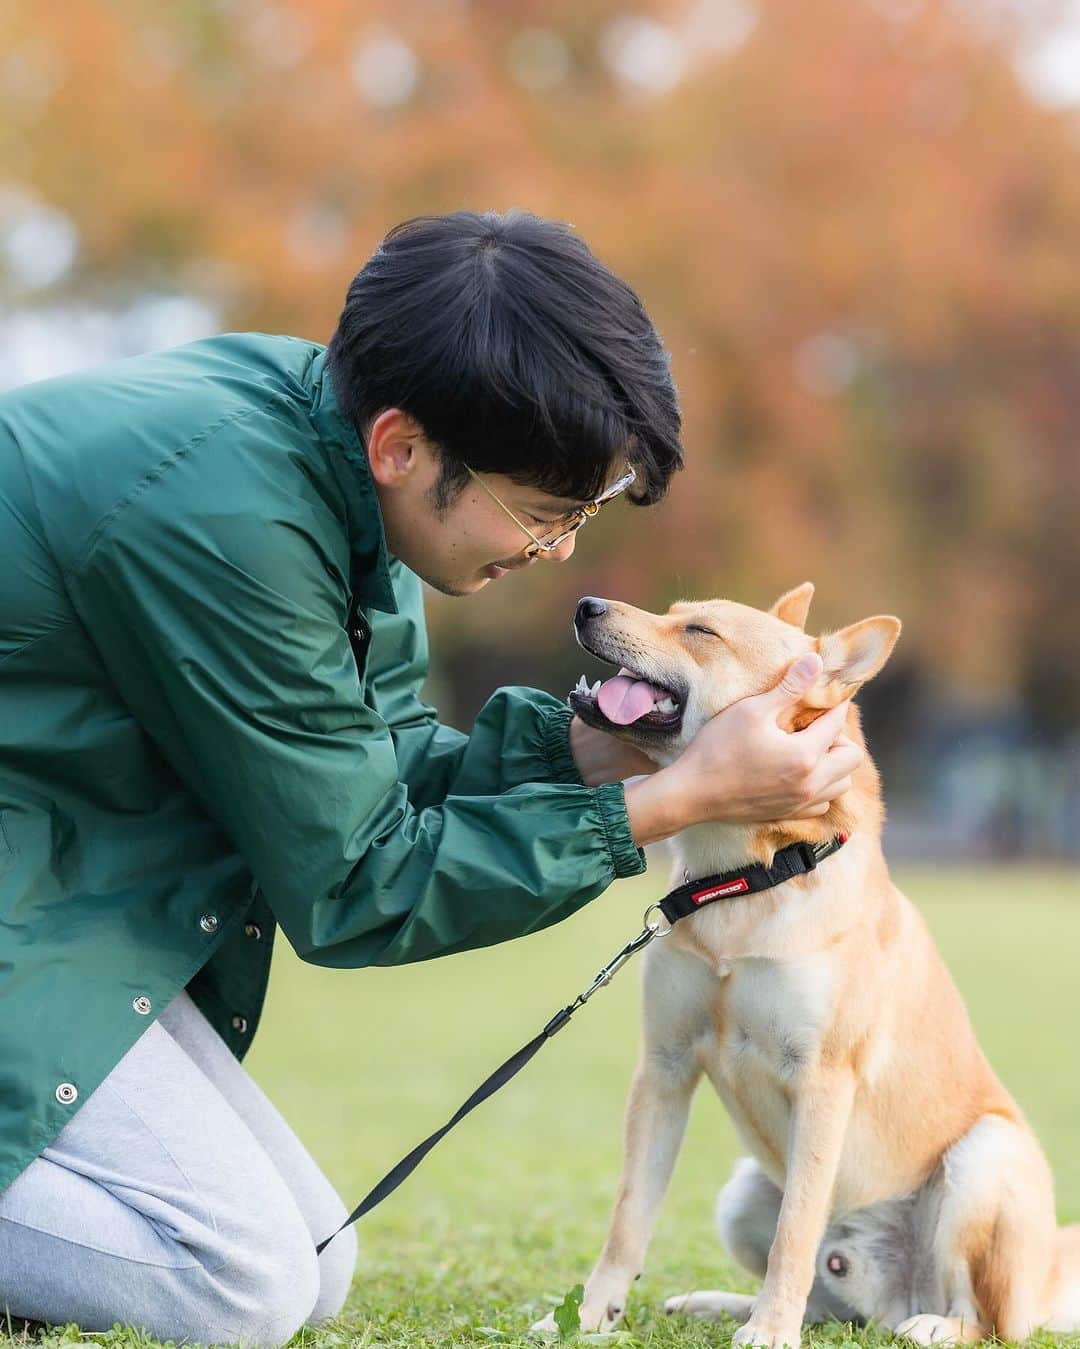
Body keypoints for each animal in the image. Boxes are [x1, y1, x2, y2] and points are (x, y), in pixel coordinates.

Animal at [533, 588, 1078, 1349]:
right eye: (673, 610)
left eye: (700, 631)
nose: (585, 603)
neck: (744, 881)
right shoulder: (664, 1067)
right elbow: (628, 1217)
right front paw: (588, 1315)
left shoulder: (823, 1080)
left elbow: (795, 1229)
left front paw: (769, 1332)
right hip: (741, 1191)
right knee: (828, 1307)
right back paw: (719, 1304)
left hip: (984, 1158)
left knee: (993, 1321)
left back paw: (928, 1324)